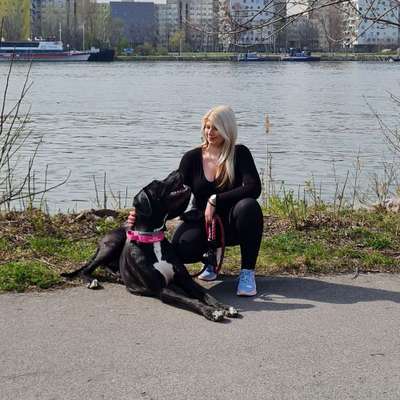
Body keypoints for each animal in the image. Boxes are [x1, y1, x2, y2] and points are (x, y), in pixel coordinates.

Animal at [62, 171, 238, 322]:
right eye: (157, 183)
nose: (177, 171)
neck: (153, 239)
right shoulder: (162, 289)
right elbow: (192, 301)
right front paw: (211, 312)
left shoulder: (186, 281)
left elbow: (206, 295)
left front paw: (224, 306)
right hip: (112, 244)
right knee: (87, 269)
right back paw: (92, 281)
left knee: (107, 265)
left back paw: (116, 275)